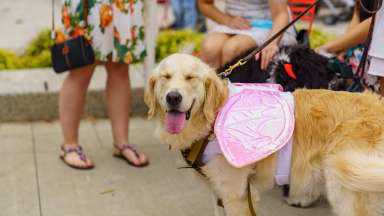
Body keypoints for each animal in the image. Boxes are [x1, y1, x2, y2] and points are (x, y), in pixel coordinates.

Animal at [145, 52, 384, 216]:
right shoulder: (218, 192)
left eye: (190, 77)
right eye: (165, 77)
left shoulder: (236, 195)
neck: (212, 121)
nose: (173, 97)